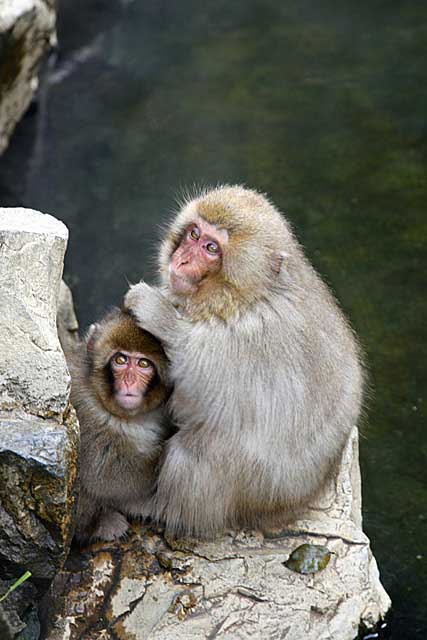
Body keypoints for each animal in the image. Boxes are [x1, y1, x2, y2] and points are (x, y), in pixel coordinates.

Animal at [64, 308, 171, 544]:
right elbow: (103, 474)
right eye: (120, 360)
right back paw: (102, 523)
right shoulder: (84, 409)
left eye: (143, 364)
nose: (129, 381)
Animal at [124, 186, 364, 540]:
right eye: (194, 234)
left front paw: (158, 313)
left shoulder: (246, 339)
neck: (249, 296)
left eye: (211, 248)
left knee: (199, 450)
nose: (181, 260)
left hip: (248, 489)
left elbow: (201, 397)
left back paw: (162, 509)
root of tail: (289, 507)